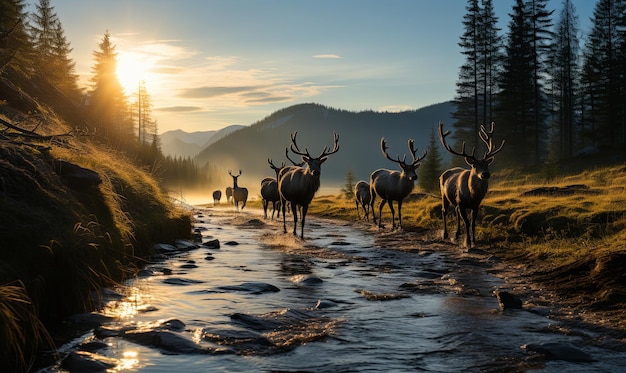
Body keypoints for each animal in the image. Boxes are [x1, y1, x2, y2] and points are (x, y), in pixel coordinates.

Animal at [436, 120, 504, 248]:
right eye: (474, 165)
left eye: (487, 164)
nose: (485, 174)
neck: (472, 195)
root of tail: (443, 173)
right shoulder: (461, 203)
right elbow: (467, 222)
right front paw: (467, 242)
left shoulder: (476, 205)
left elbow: (472, 223)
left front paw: (474, 241)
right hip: (444, 194)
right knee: (444, 211)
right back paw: (446, 234)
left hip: (456, 201)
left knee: (456, 211)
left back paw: (457, 233)